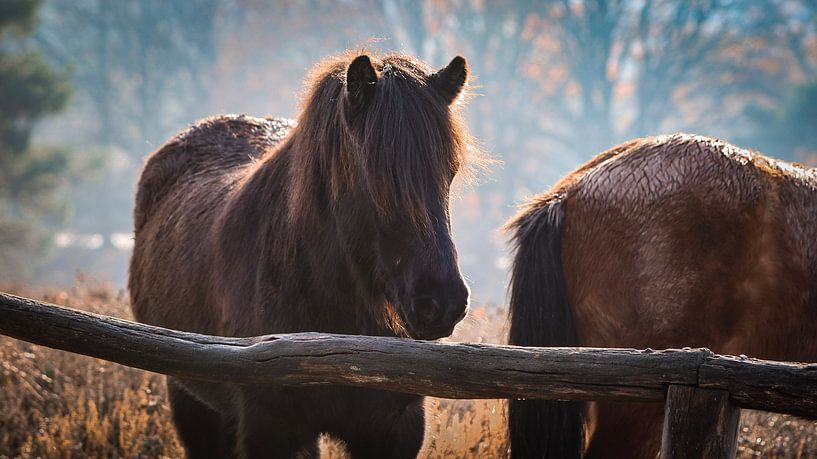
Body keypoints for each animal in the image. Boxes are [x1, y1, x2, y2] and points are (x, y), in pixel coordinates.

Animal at [129, 52, 476, 458]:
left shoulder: (393, 430)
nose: (442, 303)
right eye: (376, 173)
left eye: (449, 172)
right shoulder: (271, 431)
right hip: (190, 400)